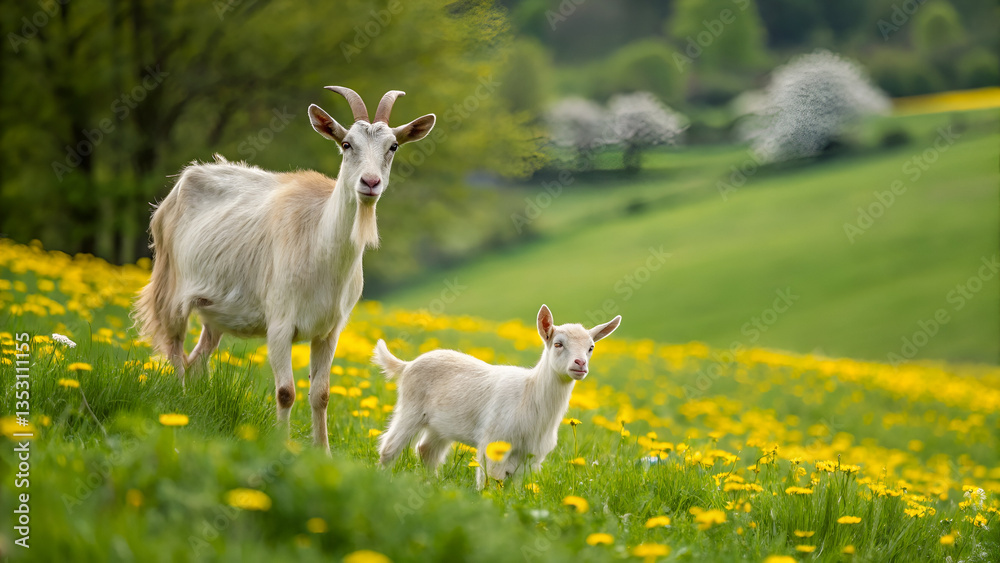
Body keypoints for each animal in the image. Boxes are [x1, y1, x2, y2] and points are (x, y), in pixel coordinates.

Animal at [133, 86, 436, 452]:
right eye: (346, 144)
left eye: (393, 146)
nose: (370, 182)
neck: (320, 245)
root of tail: (181, 182)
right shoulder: (279, 323)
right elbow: (285, 392)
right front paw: (280, 447)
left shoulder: (329, 330)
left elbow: (321, 394)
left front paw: (323, 453)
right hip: (170, 286)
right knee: (175, 351)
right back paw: (176, 407)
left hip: (213, 312)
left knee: (196, 360)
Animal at [372, 305, 621, 488]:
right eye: (558, 343)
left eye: (591, 348)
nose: (580, 364)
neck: (529, 394)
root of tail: (406, 365)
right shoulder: (494, 441)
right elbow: (491, 481)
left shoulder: (532, 455)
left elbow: (517, 487)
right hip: (410, 407)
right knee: (389, 448)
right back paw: (383, 478)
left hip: (440, 425)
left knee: (426, 451)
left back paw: (430, 484)